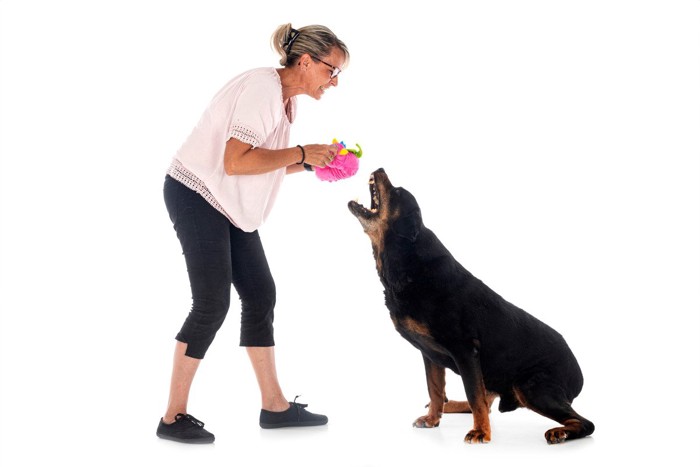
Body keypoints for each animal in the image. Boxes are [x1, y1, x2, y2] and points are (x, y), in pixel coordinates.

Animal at [348, 168, 592, 446]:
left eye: (397, 192)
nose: (379, 170)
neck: (407, 260)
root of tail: (578, 375)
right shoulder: (429, 354)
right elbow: (435, 389)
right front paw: (433, 419)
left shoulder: (465, 349)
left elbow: (474, 394)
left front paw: (480, 432)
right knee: (484, 399)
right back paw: (452, 405)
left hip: (531, 387)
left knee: (584, 422)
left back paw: (560, 432)